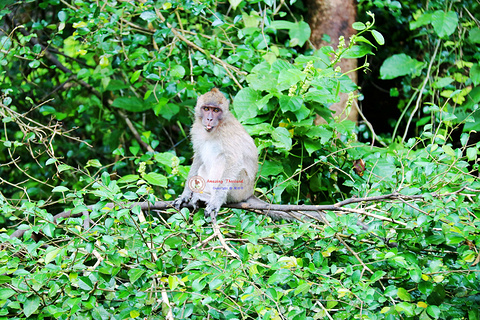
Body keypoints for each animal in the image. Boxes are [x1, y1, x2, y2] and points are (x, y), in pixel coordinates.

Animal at [173, 87, 258, 222]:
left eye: (216, 110)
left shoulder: (228, 132)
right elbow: (198, 157)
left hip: (240, 189)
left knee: (223, 161)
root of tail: (249, 192)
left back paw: (213, 198)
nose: (209, 119)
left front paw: (215, 202)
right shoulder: (196, 128)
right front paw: (185, 194)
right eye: (206, 109)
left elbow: (234, 161)